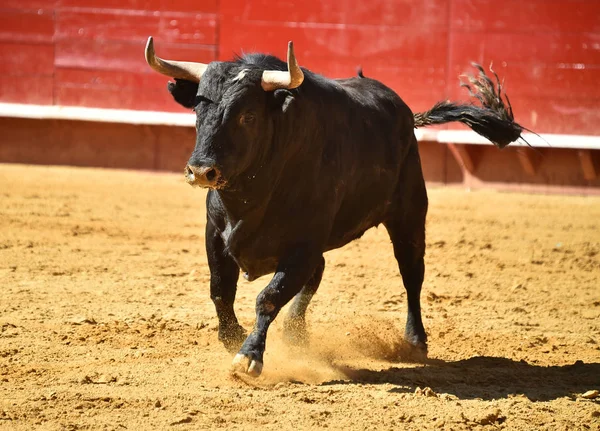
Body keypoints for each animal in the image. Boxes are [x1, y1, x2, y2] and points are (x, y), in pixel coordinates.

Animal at [143, 39, 524, 378]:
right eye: (198, 110)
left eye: (248, 116)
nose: (201, 170)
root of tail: (404, 112)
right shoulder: (216, 236)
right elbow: (221, 291)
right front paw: (233, 338)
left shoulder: (303, 245)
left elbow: (269, 297)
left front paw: (248, 357)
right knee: (320, 273)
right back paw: (295, 333)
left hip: (410, 216)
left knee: (412, 274)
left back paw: (415, 341)